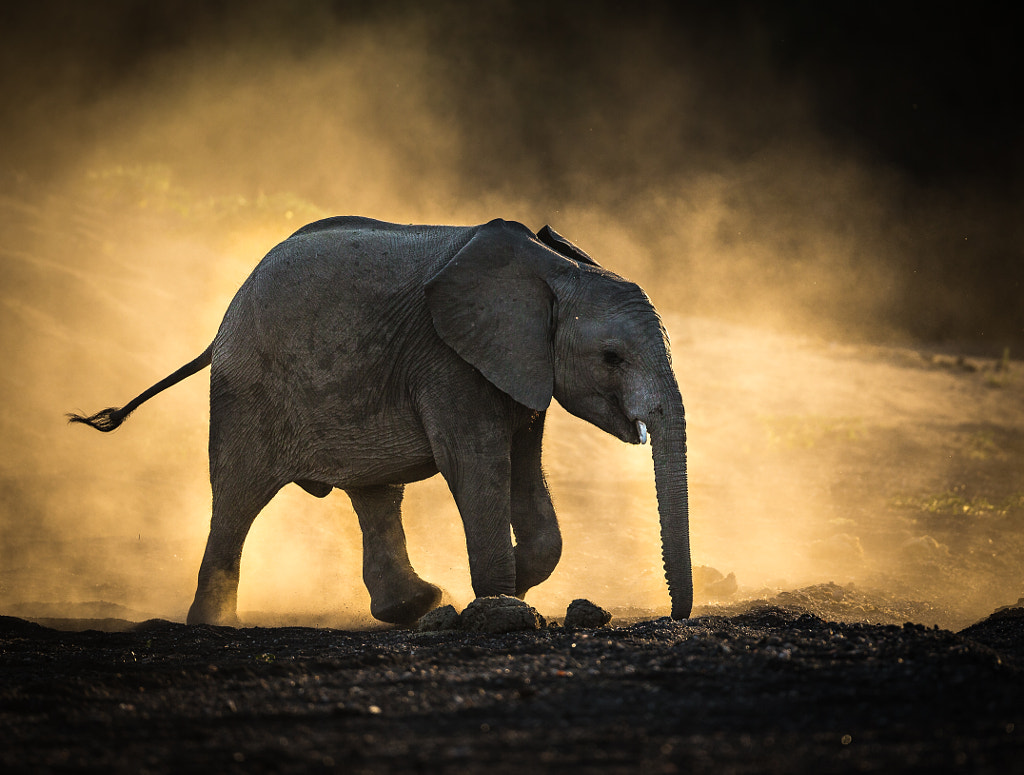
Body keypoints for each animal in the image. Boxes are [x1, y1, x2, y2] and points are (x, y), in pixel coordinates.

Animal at [70, 216, 696, 622]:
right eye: (612, 358)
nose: (674, 617)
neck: (552, 271)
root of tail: (222, 324)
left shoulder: (518, 364)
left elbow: (523, 464)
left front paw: (510, 585)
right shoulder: (449, 360)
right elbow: (476, 463)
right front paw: (499, 602)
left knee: (374, 493)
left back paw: (416, 605)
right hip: (246, 390)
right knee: (237, 496)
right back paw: (211, 622)